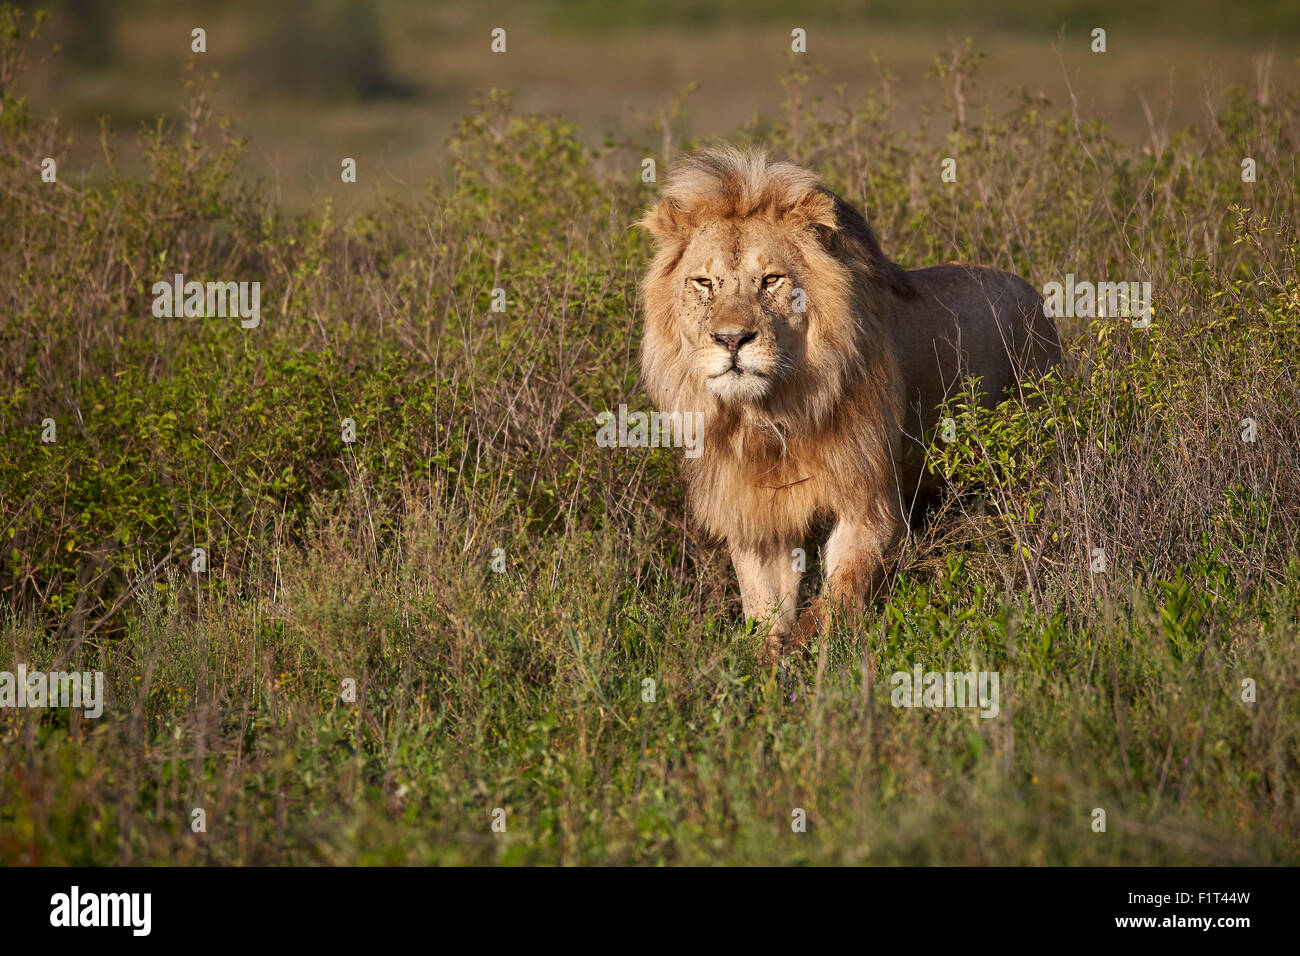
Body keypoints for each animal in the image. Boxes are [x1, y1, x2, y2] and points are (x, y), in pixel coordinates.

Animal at [639, 145, 1066, 660]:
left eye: (771, 280)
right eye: (704, 283)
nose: (732, 339)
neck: (772, 415)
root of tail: (1033, 293)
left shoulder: (869, 501)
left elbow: (837, 598)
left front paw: (813, 659)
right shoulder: (758, 517)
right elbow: (764, 611)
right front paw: (763, 668)